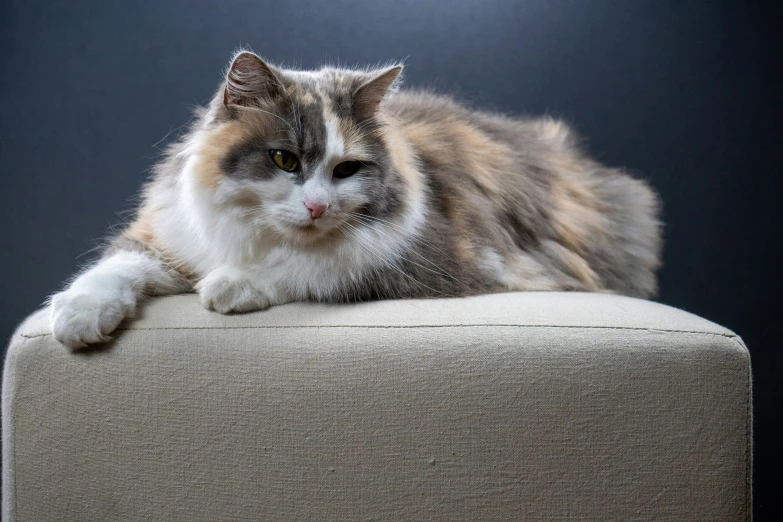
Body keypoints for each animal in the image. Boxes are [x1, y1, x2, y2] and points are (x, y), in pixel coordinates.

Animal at [49, 50, 660, 348]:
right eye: (284, 160)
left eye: (346, 170)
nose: (318, 207)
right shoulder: (167, 237)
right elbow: (115, 267)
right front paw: (77, 317)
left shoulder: (434, 258)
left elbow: (313, 266)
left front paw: (231, 286)